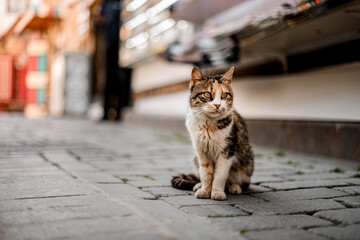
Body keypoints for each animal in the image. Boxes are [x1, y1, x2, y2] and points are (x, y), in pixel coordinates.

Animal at [171, 65, 253, 201]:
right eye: (207, 94)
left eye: (224, 95)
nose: (217, 105)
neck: (208, 125)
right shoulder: (201, 151)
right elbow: (206, 174)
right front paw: (205, 190)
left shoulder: (227, 150)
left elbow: (219, 175)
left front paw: (217, 192)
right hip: (195, 158)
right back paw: (198, 185)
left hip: (247, 161)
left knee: (243, 182)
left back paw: (235, 187)